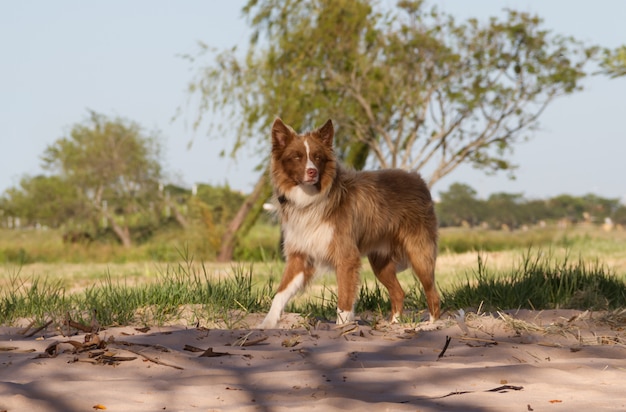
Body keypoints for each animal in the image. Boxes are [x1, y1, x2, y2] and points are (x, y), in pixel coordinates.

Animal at [258, 118, 438, 328]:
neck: (310, 200)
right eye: (296, 157)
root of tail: (419, 179)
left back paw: (432, 324)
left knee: (432, 292)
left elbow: (344, 299)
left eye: (318, 157)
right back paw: (394, 324)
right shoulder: (301, 255)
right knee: (399, 292)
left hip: (419, 253)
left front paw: (341, 328)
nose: (312, 172)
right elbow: (281, 292)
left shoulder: (346, 256)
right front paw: (266, 325)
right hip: (380, 262)